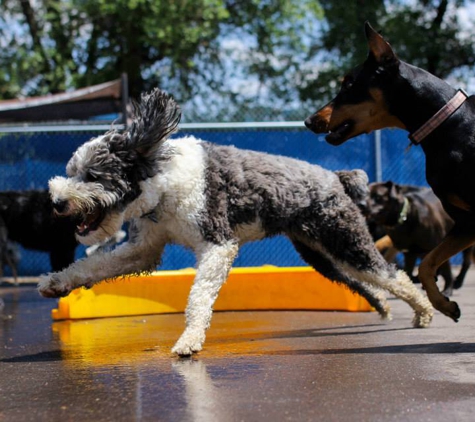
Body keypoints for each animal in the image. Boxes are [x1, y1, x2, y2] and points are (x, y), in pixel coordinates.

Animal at [38, 89, 436, 356]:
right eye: (71, 171)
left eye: (93, 176)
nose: (56, 201)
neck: (162, 181)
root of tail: (335, 177)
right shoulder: (145, 247)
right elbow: (95, 265)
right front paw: (57, 282)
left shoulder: (218, 243)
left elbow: (199, 296)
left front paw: (189, 340)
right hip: (321, 254)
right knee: (365, 282)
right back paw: (384, 307)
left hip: (346, 240)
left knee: (394, 275)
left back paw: (424, 314)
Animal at [304, 20, 475, 324]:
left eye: (349, 84)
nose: (309, 121)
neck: (448, 124)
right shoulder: (465, 222)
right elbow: (427, 264)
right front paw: (444, 304)